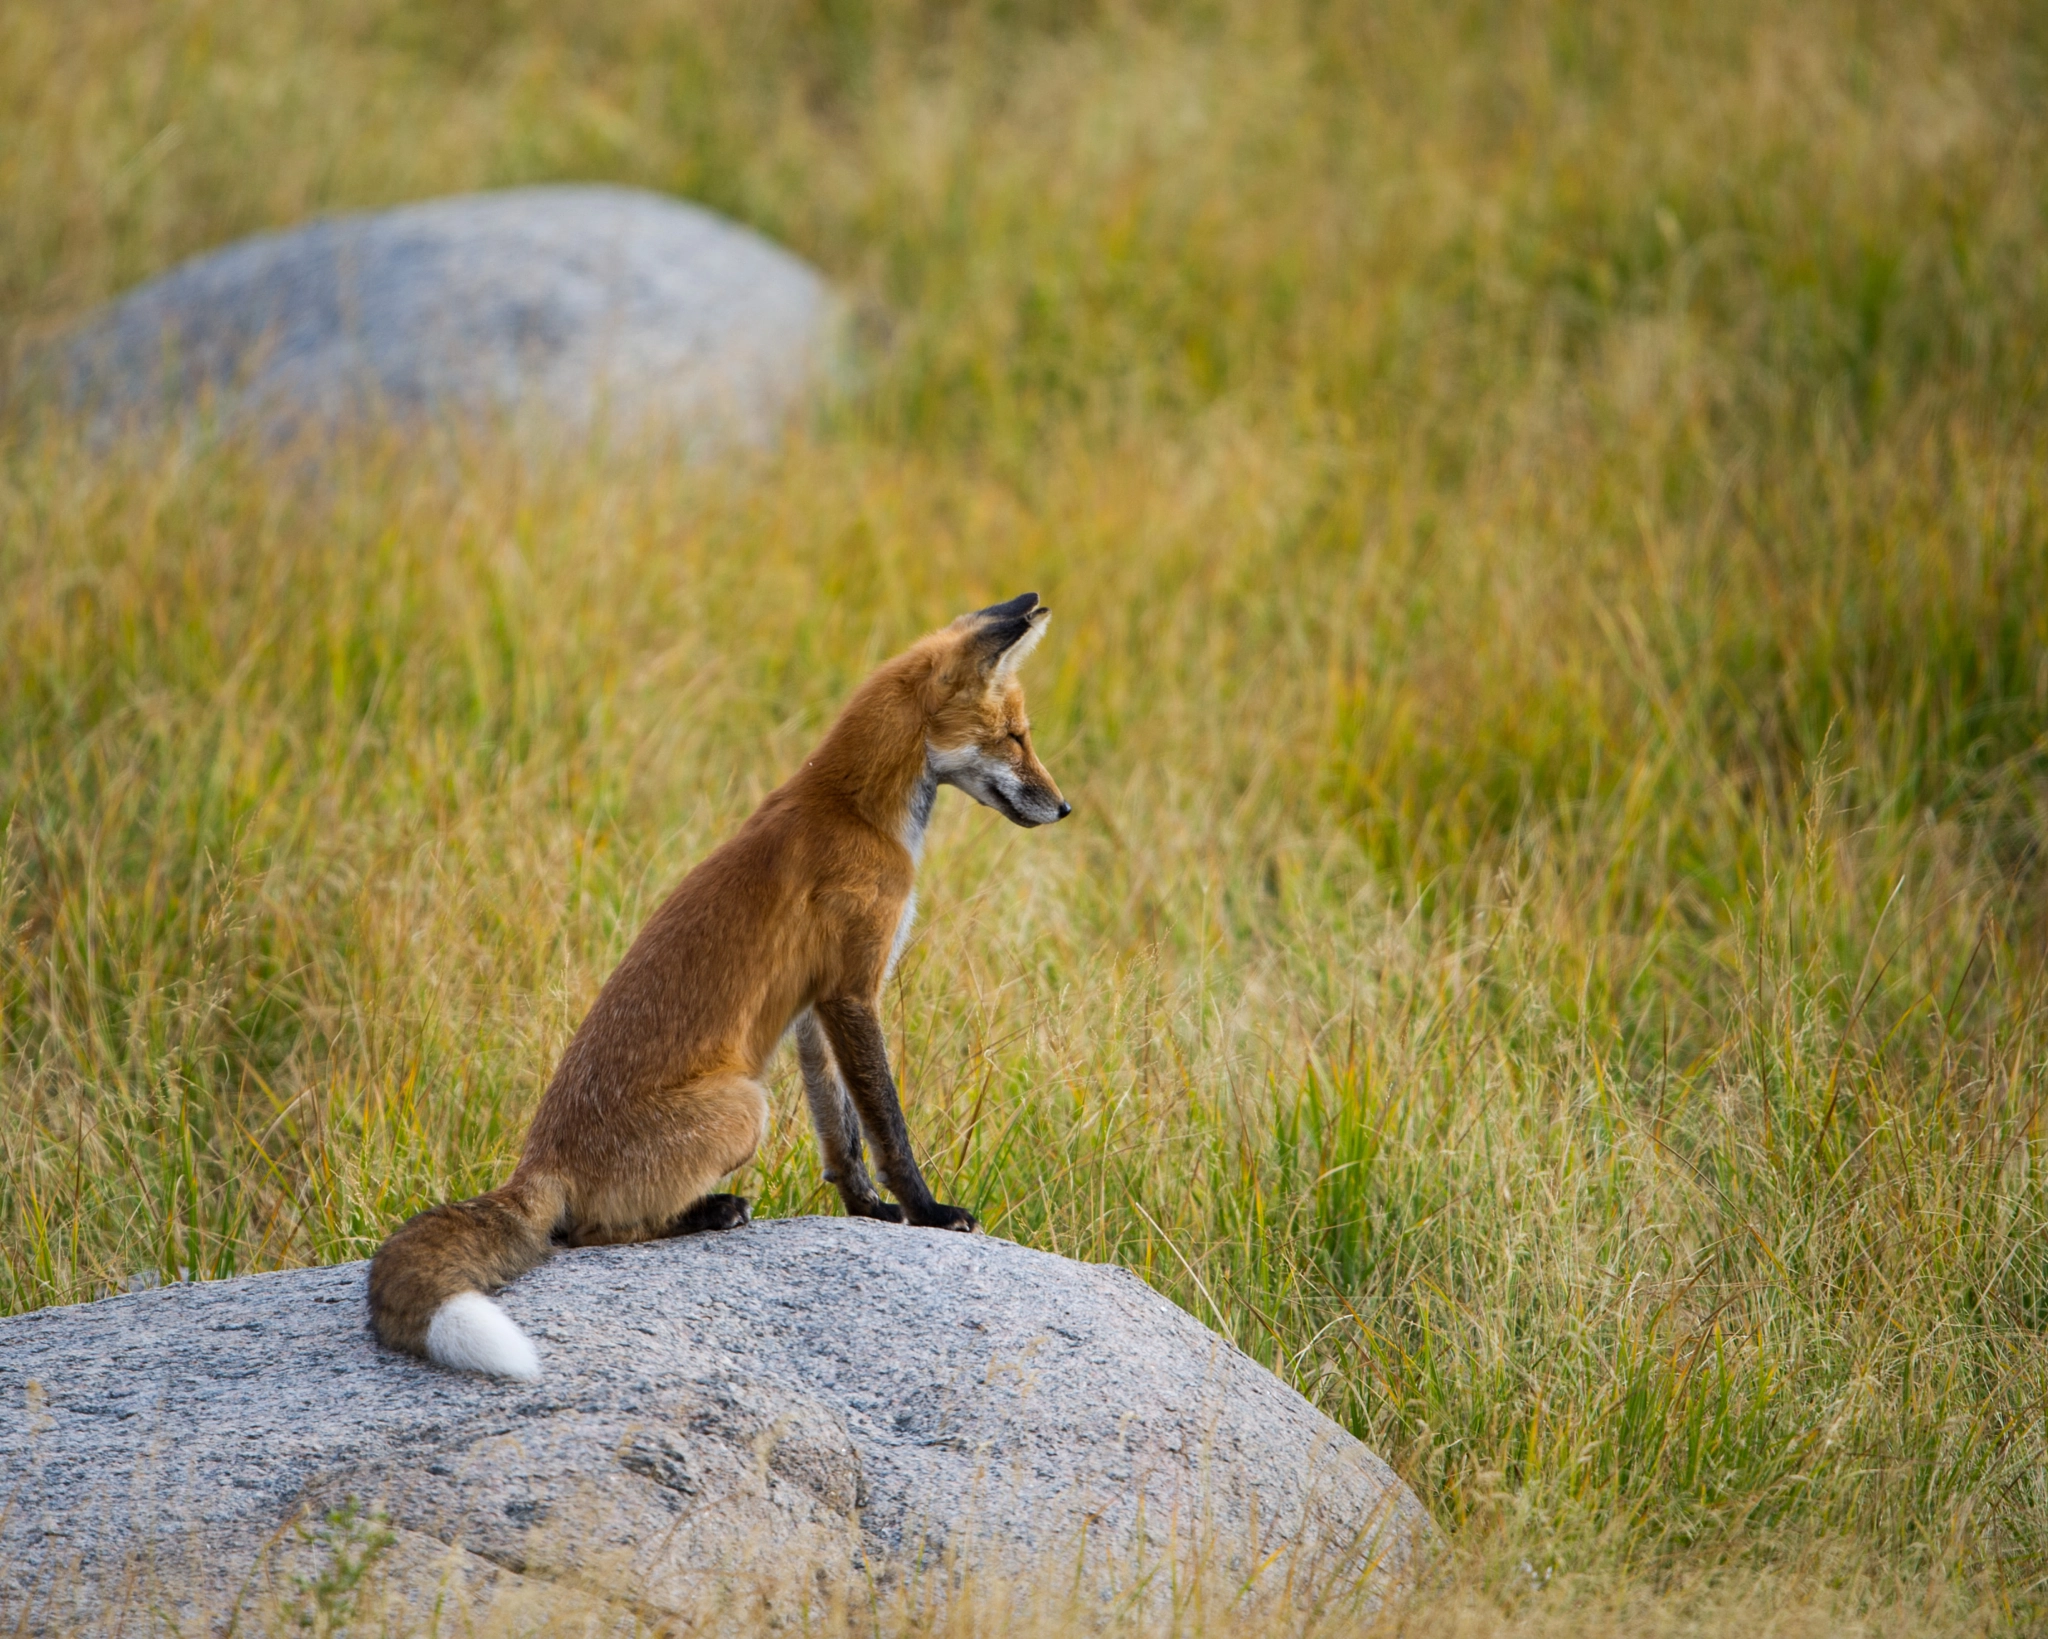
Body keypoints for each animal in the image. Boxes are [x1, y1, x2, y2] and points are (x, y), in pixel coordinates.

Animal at [368, 594, 1073, 1376]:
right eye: (1014, 737)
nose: (1064, 808)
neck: (854, 807)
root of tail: (538, 1163)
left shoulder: (814, 1009)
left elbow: (841, 1136)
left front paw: (867, 1212)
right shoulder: (853, 990)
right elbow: (888, 1126)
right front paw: (929, 1213)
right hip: (744, 1107)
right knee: (582, 1234)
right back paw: (708, 1211)